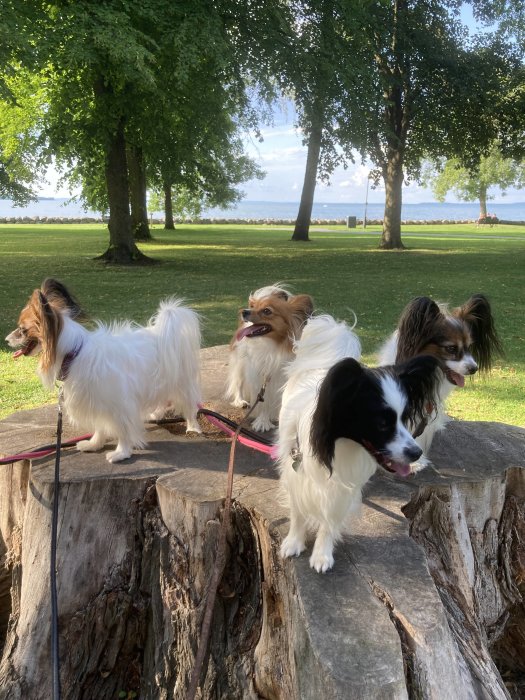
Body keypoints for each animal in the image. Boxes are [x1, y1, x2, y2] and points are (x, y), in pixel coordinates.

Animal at [6, 278, 203, 464]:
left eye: (22, 330)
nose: (7, 340)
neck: (74, 354)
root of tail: (161, 331)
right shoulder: (96, 401)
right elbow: (100, 426)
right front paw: (94, 444)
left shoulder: (119, 403)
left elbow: (123, 429)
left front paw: (121, 452)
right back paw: (156, 413)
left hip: (180, 381)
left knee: (188, 404)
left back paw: (192, 427)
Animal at [224, 284, 312, 432]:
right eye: (253, 307)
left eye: (267, 311)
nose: (244, 311)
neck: (273, 345)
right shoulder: (261, 376)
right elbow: (263, 401)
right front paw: (263, 422)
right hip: (241, 364)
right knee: (238, 382)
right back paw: (240, 401)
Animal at [276, 314, 440, 572]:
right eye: (382, 423)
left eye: (405, 419)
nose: (416, 453)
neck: (337, 445)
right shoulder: (294, 471)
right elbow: (298, 510)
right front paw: (294, 541)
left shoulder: (345, 485)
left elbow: (330, 518)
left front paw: (322, 553)